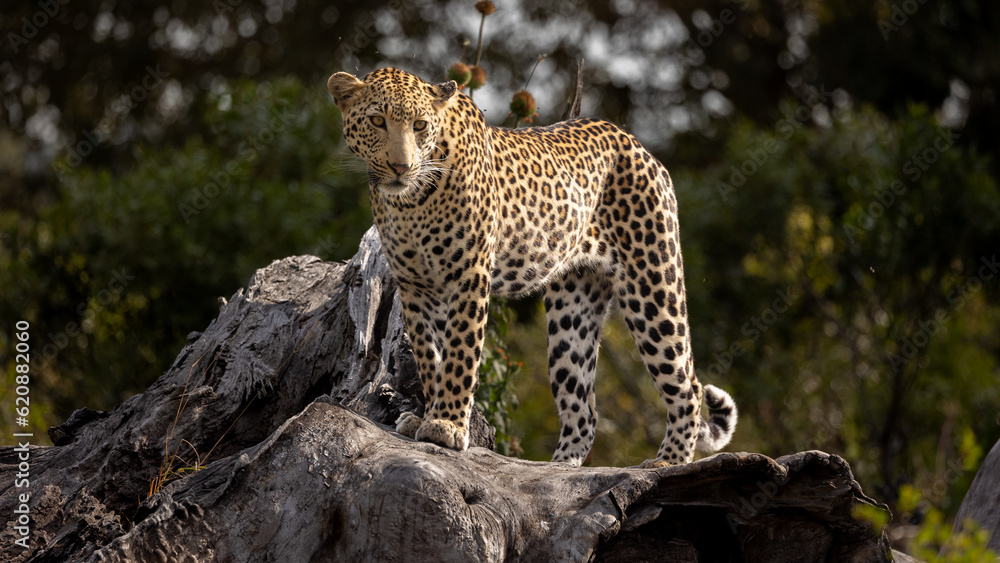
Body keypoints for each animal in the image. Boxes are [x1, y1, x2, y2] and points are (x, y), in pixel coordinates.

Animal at [327, 67, 737, 467]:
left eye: (420, 125)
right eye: (377, 121)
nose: (401, 166)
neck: (410, 202)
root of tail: (639, 146)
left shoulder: (469, 276)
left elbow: (460, 353)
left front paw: (446, 426)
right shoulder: (416, 286)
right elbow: (430, 357)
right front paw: (429, 415)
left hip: (653, 284)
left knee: (688, 385)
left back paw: (668, 461)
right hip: (572, 312)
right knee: (583, 410)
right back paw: (559, 466)